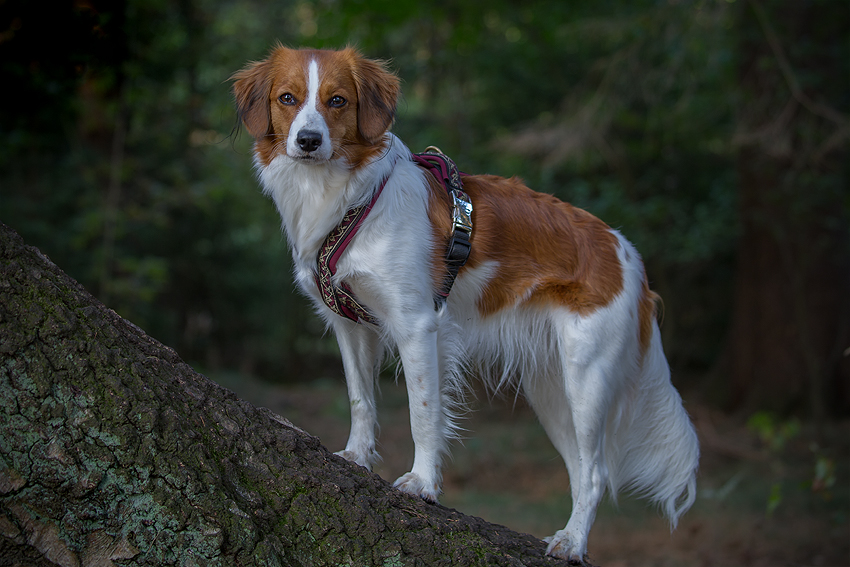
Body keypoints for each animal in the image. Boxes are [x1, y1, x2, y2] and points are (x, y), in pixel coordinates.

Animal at [230, 45, 696, 564]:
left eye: (337, 101)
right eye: (287, 98)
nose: (308, 141)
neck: (349, 198)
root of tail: (628, 257)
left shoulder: (417, 324)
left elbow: (423, 412)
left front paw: (423, 484)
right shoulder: (349, 324)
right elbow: (360, 399)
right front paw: (356, 456)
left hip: (587, 378)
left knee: (596, 473)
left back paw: (573, 542)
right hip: (551, 391)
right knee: (580, 469)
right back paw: (570, 534)